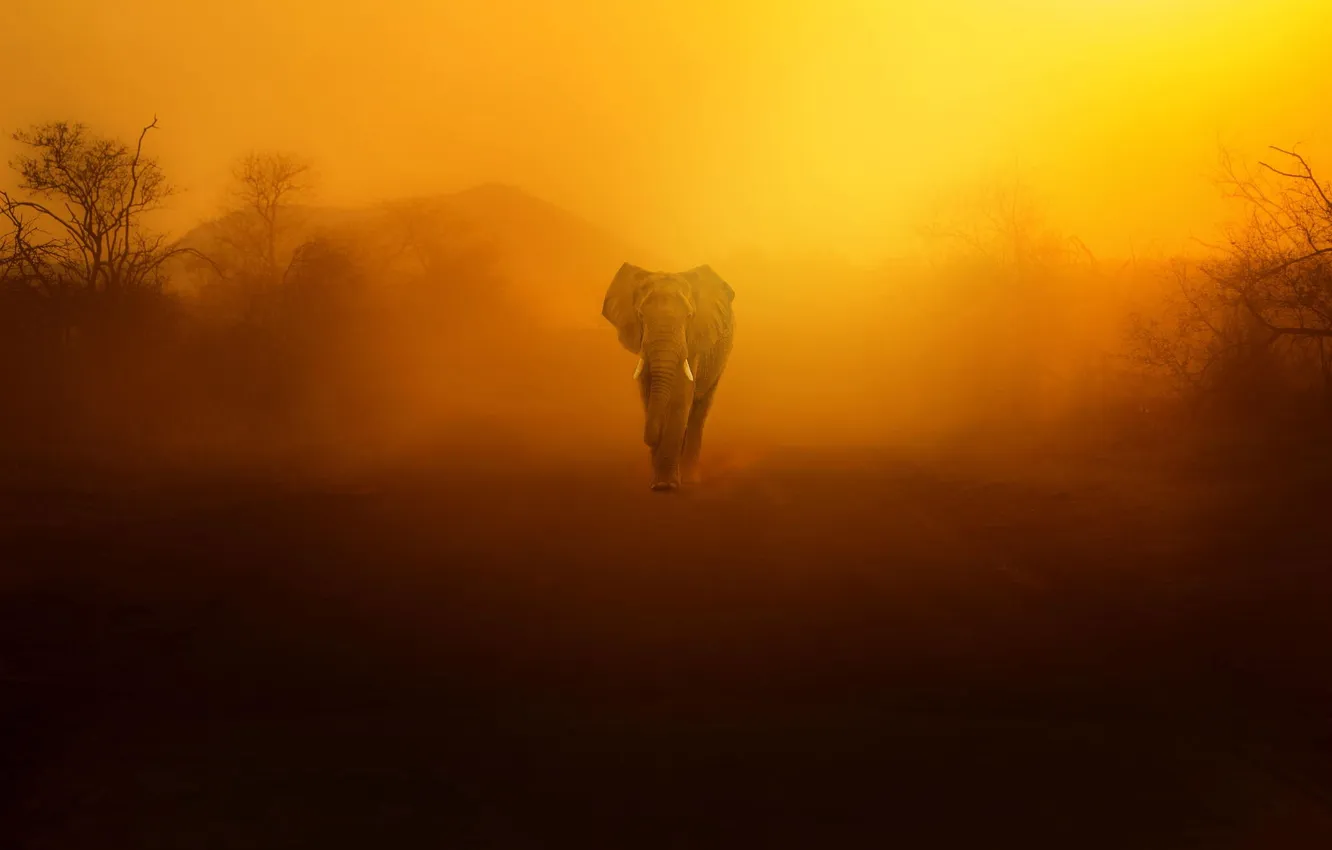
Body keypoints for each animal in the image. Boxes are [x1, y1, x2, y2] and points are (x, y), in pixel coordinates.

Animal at [602, 262, 735, 491]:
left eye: (689, 316)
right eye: (641, 315)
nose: (650, 440)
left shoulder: (694, 341)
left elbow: (681, 397)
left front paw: (666, 486)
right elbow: (648, 393)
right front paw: (658, 483)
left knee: (699, 411)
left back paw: (689, 479)